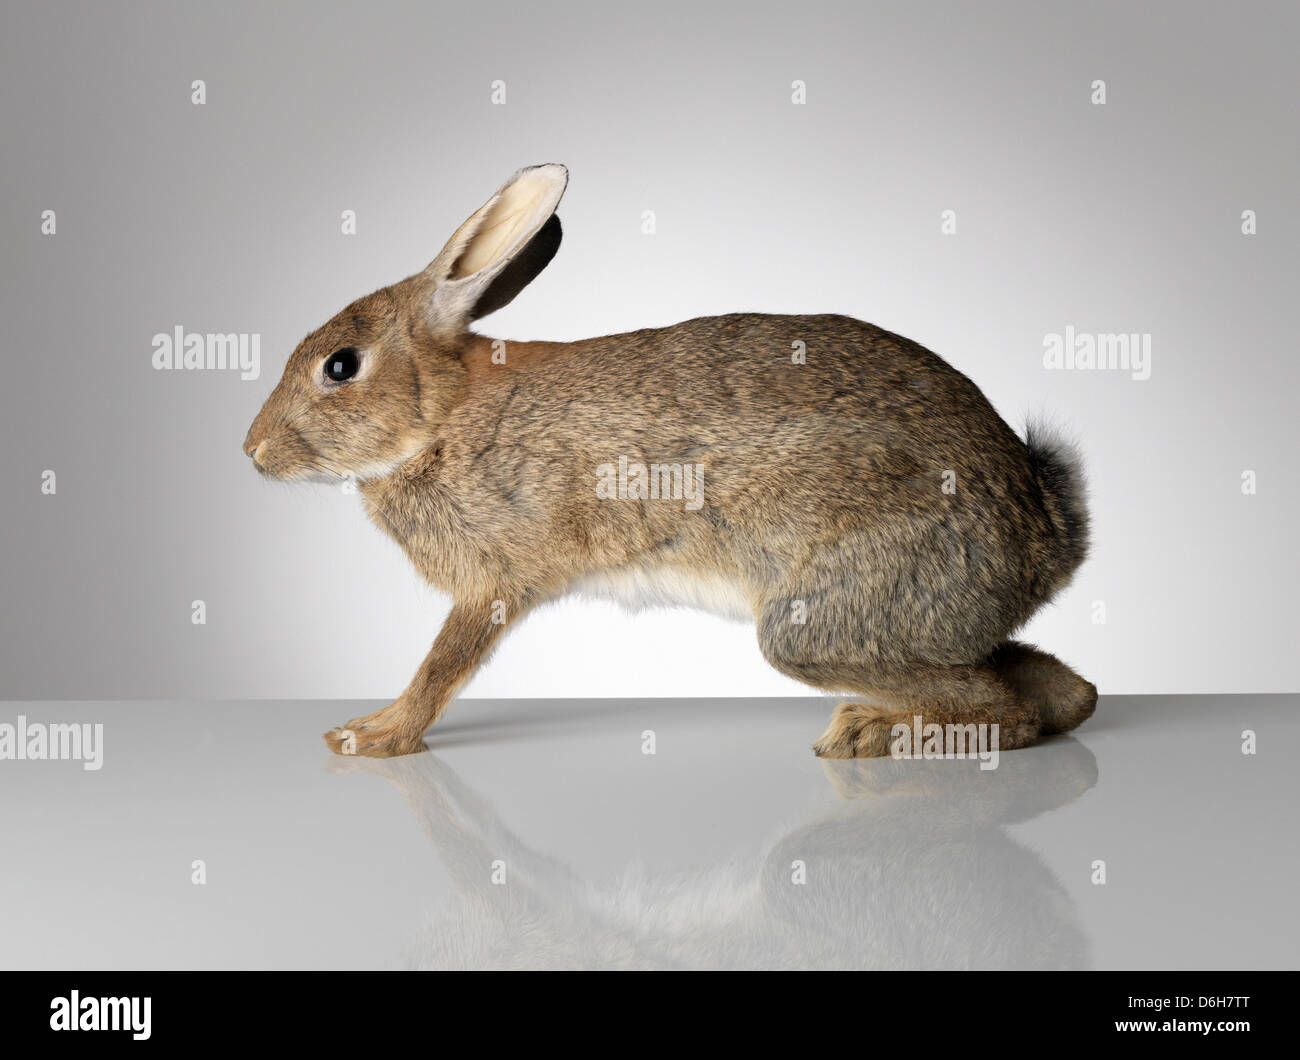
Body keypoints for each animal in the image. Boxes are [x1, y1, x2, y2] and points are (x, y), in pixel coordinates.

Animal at [243, 163, 1097, 759]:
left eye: (341, 367)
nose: (251, 450)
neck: (442, 416)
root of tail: (1045, 536)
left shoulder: (495, 580)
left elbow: (440, 668)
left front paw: (373, 736)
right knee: (1065, 693)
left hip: (815, 622)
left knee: (1009, 706)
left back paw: (866, 734)